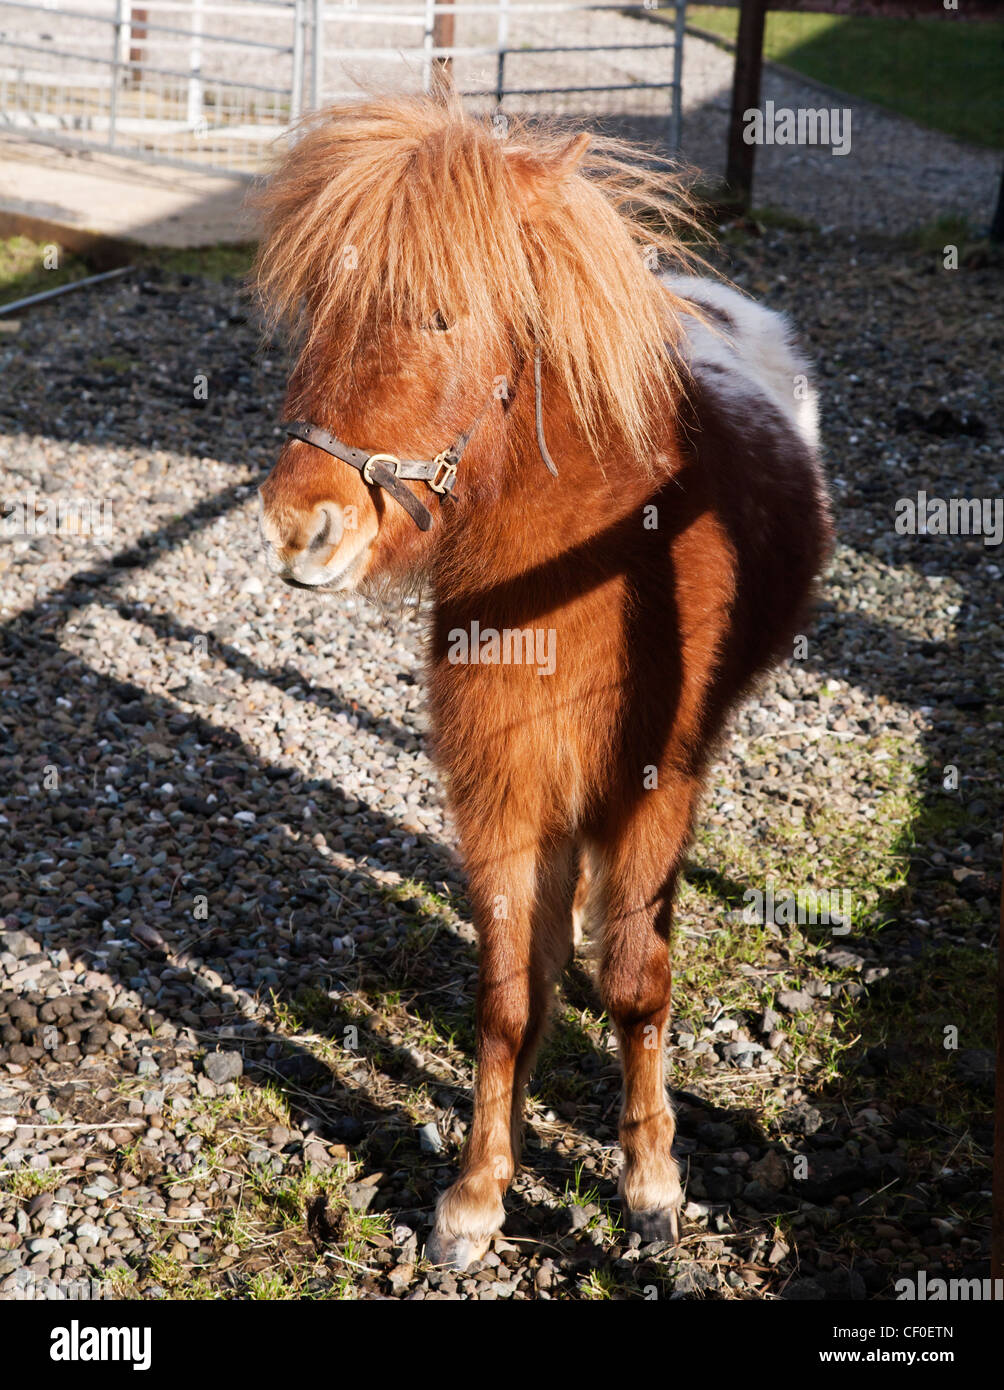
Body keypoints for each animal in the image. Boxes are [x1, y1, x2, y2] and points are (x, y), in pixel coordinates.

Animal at [252, 93, 832, 1271]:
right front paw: (477, 1195)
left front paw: (651, 1187)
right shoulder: (501, 796)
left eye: (439, 317)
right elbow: (508, 995)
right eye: (322, 310)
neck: (577, 579)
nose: (300, 528)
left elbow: (639, 982)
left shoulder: (650, 791)